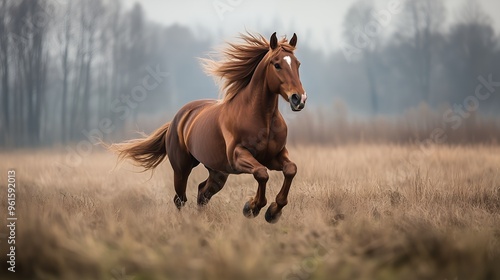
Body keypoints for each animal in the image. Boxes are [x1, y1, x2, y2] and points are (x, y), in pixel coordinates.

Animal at [111, 31, 306, 223]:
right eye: (277, 65)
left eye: (298, 64)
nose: (299, 99)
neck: (261, 119)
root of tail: (176, 119)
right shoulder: (238, 156)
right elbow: (261, 173)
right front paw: (253, 207)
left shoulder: (275, 155)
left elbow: (290, 169)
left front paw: (273, 211)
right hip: (182, 169)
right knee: (180, 199)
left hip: (218, 173)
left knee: (202, 193)